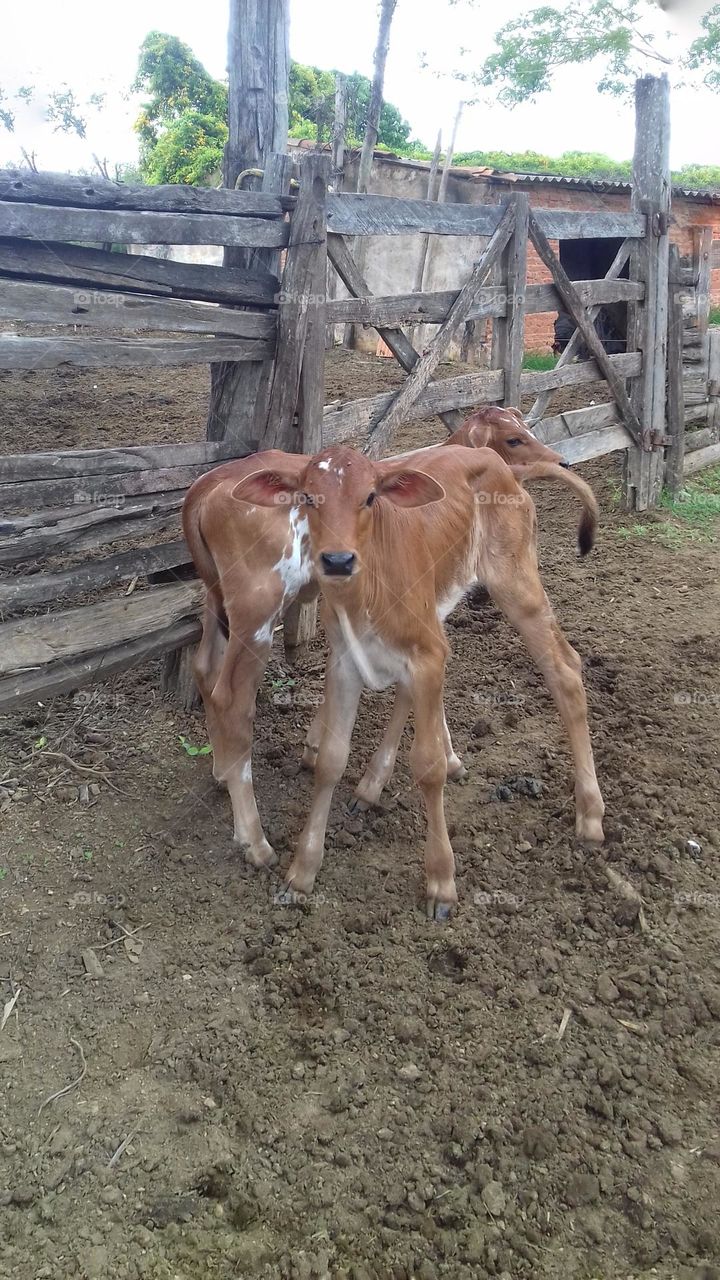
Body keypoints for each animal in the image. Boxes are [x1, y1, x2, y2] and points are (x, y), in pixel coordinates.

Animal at [233, 445, 602, 916]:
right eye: (308, 497)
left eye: (370, 497)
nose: (337, 560)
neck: (367, 592)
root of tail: (497, 460)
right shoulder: (346, 659)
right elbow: (331, 760)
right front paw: (303, 870)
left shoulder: (427, 653)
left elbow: (428, 766)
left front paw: (441, 880)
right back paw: (373, 785)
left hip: (516, 583)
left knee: (566, 670)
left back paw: (590, 813)